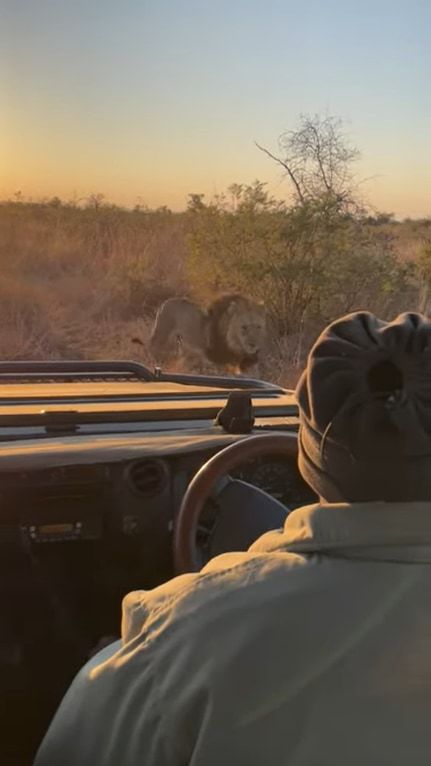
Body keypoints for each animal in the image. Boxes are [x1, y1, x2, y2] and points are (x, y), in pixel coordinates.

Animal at [135, 296, 268, 376]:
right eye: (244, 327)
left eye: (258, 327)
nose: (253, 345)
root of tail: (166, 302)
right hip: (162, 335)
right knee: (152, 349)